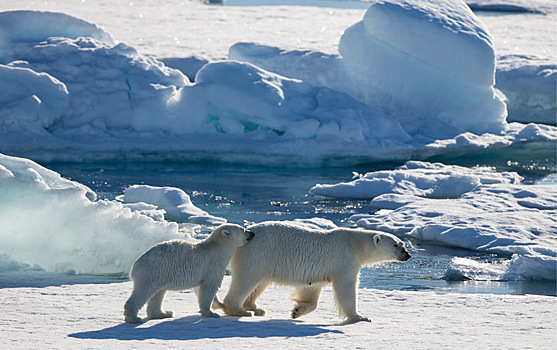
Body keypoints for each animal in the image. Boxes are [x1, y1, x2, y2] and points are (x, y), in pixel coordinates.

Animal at [215, 221, 410, 322]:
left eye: (403, 243)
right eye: (395, 245)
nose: (407, 255)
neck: (356, 244)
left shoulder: (317, 272)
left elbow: (311, 289)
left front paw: (297, 310)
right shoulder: (344, 259)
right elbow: (346, 287)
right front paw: (360, 317)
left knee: (261, 282)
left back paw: (255, 308)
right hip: (258, 254)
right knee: (247, 279)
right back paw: (238, 309)